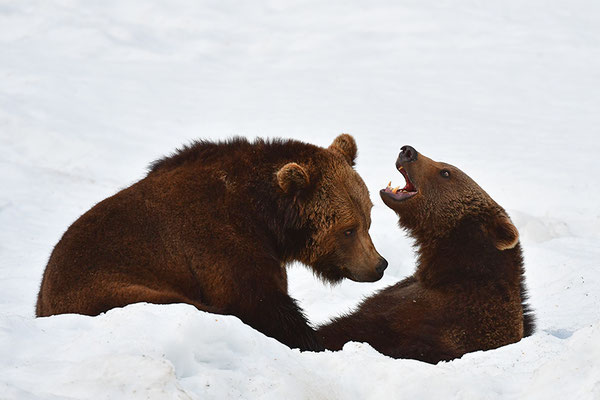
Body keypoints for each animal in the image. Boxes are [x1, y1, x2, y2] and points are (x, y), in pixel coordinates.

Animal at [35, 134, 386, 350]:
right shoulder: (222, 244)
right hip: (112, 290)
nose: (379, 265)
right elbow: (260, 302)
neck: (267, 217)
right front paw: (312, 341)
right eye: (348, 229)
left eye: (368, 219)